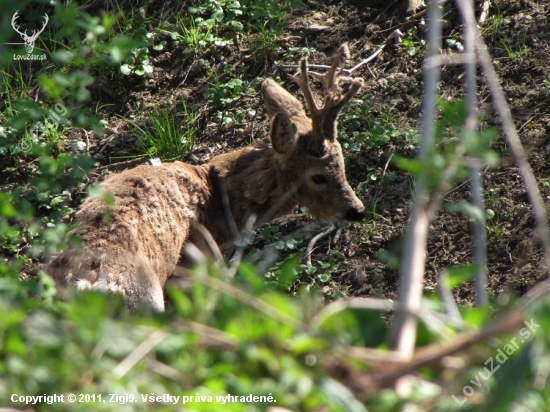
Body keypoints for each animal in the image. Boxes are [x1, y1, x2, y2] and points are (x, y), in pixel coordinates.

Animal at [48, 44, 366, 308]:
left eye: (342, 164)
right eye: (318, 177)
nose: (357, 210)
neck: (218, 197)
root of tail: (86, 285)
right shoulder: (196, 265)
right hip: (146, 298)